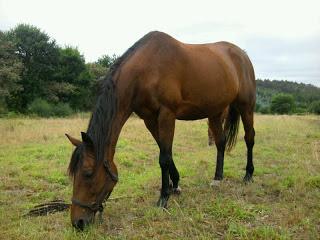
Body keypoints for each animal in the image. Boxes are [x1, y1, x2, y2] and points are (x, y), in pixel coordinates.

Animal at [66, 31, 256, 230]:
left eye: (87, 173)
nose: (78, 222)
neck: (144, 71)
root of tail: (242, 54)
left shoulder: (166, 114)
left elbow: (163, 158)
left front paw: (163, 198)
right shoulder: (149, 119)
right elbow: (166, 153)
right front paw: (175, 185)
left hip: (246, 106)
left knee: (249, 138)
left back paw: (248, 175)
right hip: (215, 112)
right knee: (220, 142)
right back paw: (217, 178)